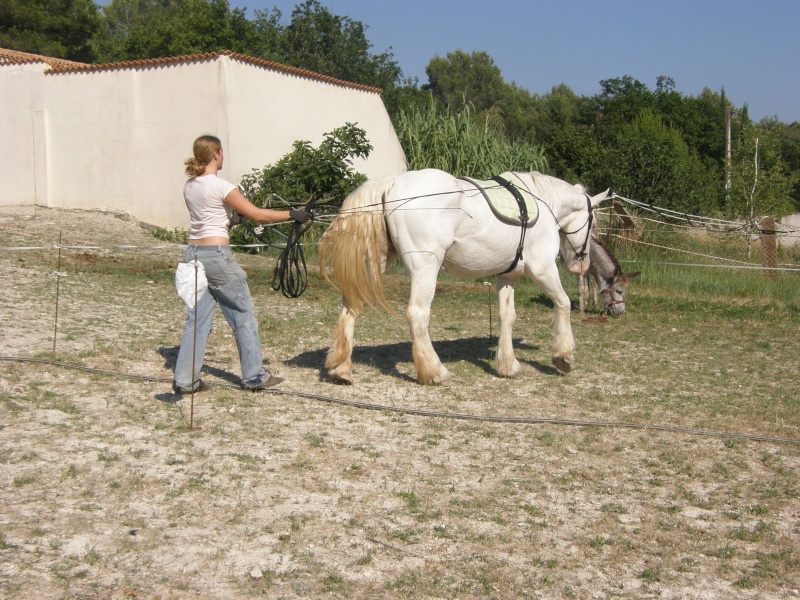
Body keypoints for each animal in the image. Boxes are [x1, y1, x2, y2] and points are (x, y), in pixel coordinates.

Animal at [316, 168, 608, 384]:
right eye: (592, 222)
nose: (582, 265)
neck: (540, 204)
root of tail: (392, 183)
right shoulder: (543, 269)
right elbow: (563, 303)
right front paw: (563, 357)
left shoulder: (506, 278)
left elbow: (507, 317)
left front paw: (508, 365)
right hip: (425, 268)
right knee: (417, 315)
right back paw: (435, 372)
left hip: (373, 263)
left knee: (350, 307)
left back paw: (340, 369)